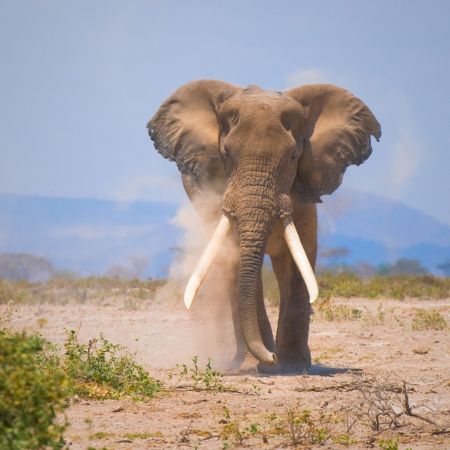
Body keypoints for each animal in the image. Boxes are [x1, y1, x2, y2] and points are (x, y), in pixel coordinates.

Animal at [147, 80, 380, 372]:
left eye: (293, 156)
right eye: (226, 154)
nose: (272, 357)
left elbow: (298, 260)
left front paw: (291, 366)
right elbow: (237, 262)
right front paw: (253, 364)